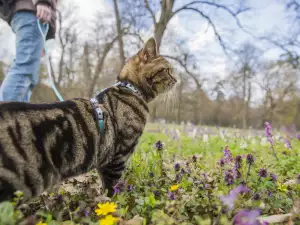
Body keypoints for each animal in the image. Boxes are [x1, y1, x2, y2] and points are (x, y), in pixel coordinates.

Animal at [0, 37, 176, 202]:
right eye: (168, 70)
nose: (176, 80)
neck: (130, 89)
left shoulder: (104, 161)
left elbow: (104, 185)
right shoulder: (118, 158)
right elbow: (112, 188)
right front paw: (116, 203)